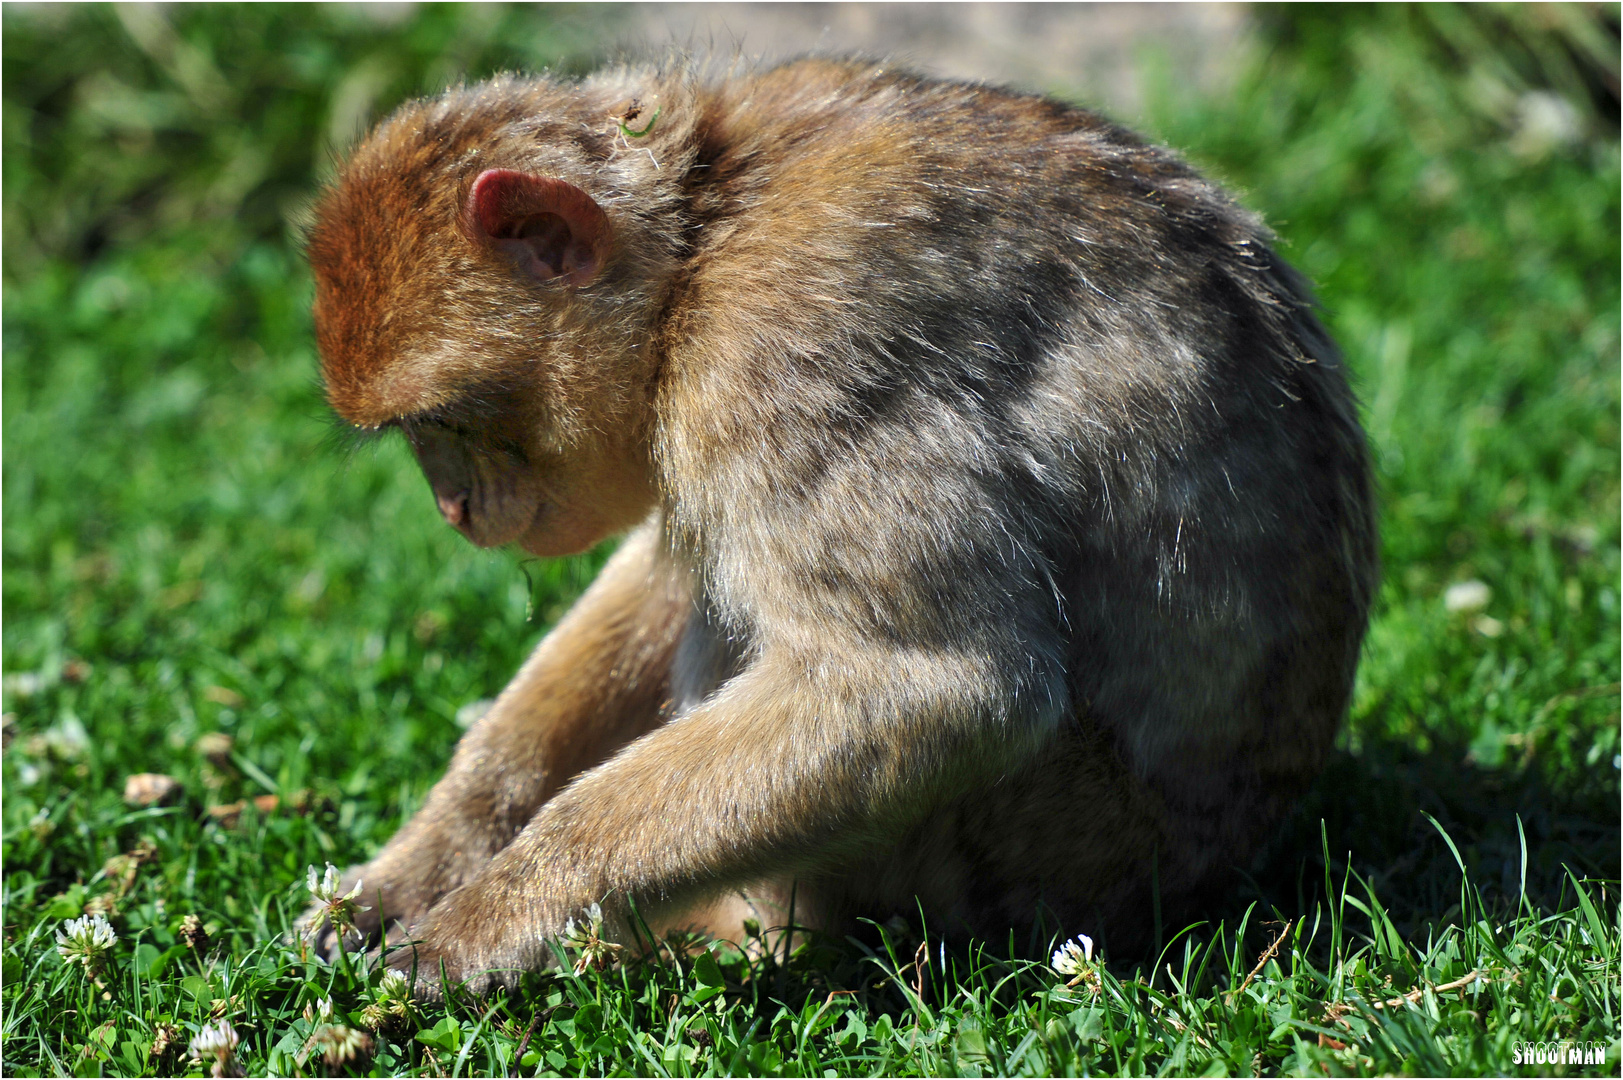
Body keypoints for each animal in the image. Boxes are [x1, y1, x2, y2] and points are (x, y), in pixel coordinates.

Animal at [301, 58, 1369, 993]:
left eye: (447, 424)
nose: (455, 507)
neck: (704, 231)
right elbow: (664, 575)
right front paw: (418, 865)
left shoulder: (782, 351)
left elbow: (936, 687)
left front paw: (496, 913)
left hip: (1048, 852)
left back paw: (728, 948)